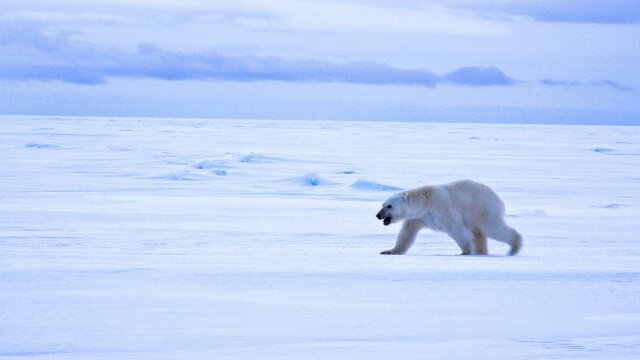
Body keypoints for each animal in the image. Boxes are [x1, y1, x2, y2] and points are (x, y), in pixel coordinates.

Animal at [376, 180, 520, 256]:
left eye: (389, 206)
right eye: (383, 204)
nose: (378, 215)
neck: (425, 203)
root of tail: (500, 200)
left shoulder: (442, 209)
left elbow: (457, 229)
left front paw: (465, 251)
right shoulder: (418, 218)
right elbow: (406, 234)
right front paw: (388, 251)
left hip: (482, 209)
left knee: (492, 228)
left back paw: (514, 246)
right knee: (480, 234)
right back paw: (482, 251)